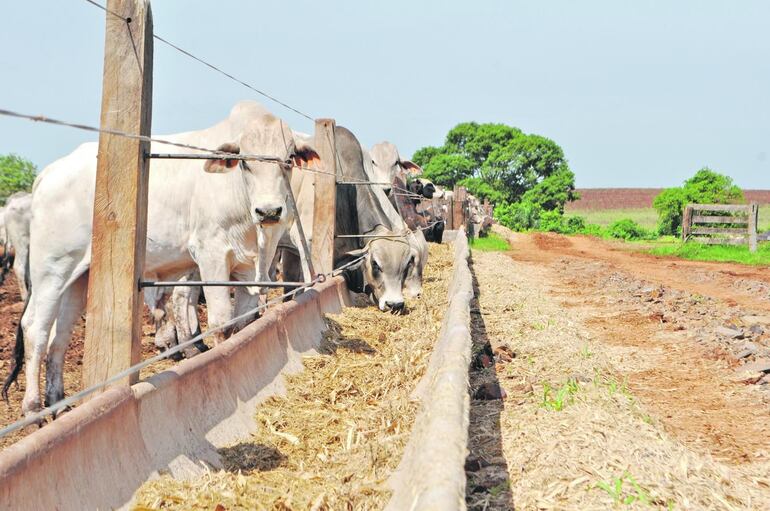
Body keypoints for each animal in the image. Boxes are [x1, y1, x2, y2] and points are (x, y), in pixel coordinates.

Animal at [9, 101, 316, 416]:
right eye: (244, 162)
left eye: (289, 159)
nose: (269, 211)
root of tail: (49, 173)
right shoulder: (211, 254)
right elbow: (221, 321)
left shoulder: (247, 268)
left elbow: (243, 323)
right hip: (51, 268)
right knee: (35, 328)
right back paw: (33, 407)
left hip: (79, 276)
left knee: (60, 335)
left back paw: (57, 402)